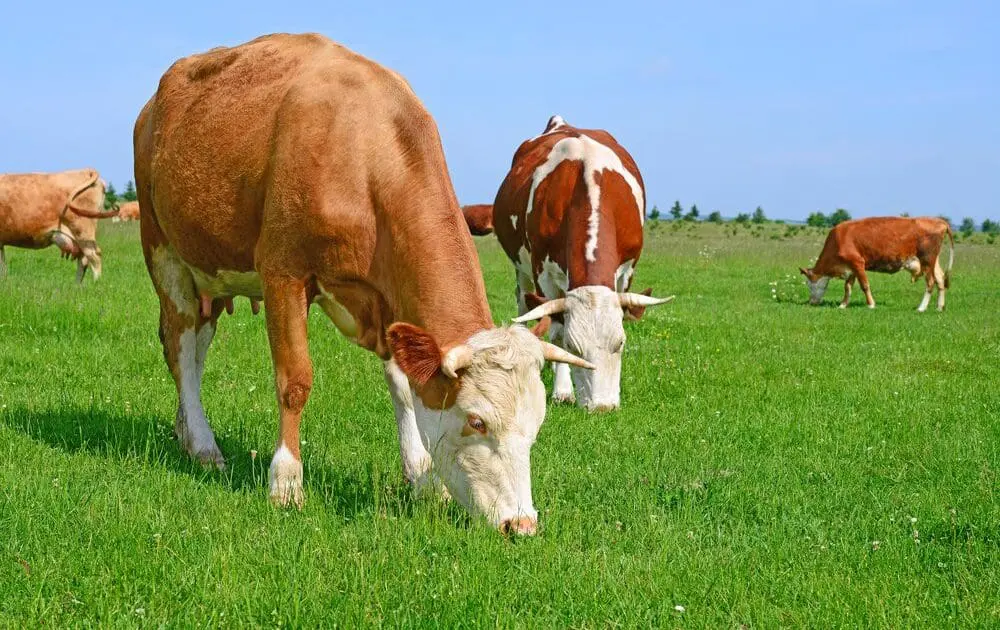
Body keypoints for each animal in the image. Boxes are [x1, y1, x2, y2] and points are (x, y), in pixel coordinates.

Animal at [133, 33, 594, 535]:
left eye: (536, 427)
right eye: (476, 422)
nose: (521, 524)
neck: (364, 154)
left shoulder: (390, 302)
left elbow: (405, 386)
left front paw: (422, 478)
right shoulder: (283, 273)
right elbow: (294, 380)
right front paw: (286, 483)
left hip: (210, 272)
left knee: (197, 348)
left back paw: (186, 430)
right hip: (164, 253)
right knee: (180, 349)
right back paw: (203, 445)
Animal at [465, 116, 672, 412]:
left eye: (619, 343)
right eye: (575, 348)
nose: (602, 407)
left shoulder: (627, 270)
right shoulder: (543, 274)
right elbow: (557, 332)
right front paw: (563, 391)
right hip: (521, 268)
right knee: (524, 302)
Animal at [799, 216, 954, 311]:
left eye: (808, 284)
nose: (811, 302)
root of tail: (939, 221)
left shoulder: (857, 262)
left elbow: (864, 285)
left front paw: (871, 304)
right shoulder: (851, 267)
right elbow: (848, 287)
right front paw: (843, 305)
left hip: (927, 260)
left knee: (930, 282)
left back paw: (921, 308)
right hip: (933, 261)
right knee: (940, 280)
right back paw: (939, 307)